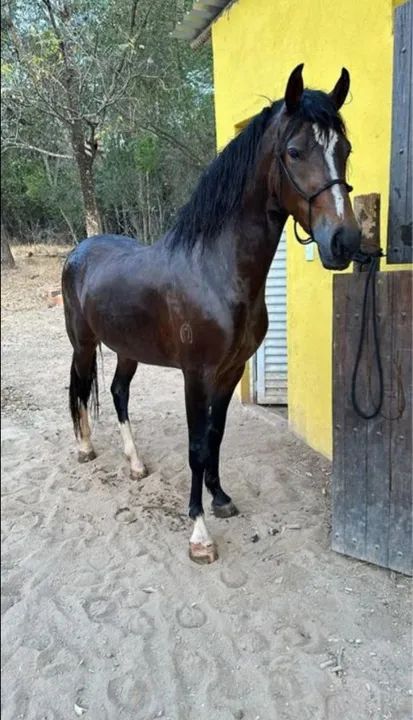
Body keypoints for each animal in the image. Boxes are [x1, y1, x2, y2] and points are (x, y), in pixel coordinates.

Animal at [62, 64, 361, 564]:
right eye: (295, 151)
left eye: (345, 150)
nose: (345, 241)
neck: (216, 271)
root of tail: (78, 251)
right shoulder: (195, 374)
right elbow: (197, 446)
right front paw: (199, 532)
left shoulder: (229, 370)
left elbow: (216, 434)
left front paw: (220, 499)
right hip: (84, 343)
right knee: (81, 389)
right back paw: (85, 448)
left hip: (127, 350)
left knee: (118, 393)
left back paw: (135, 463)